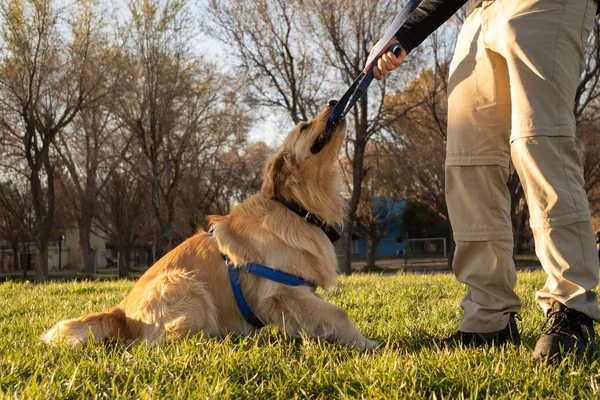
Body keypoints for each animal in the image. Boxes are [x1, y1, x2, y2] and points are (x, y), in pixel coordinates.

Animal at [42, 102, 378, 350]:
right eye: (304, 127)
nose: (334, 101)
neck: (296, 208)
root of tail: (120, 312)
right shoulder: (281, 292)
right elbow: (339, 312)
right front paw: (366, 343)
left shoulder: (299, 289)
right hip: (183, 282)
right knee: (163, 343)